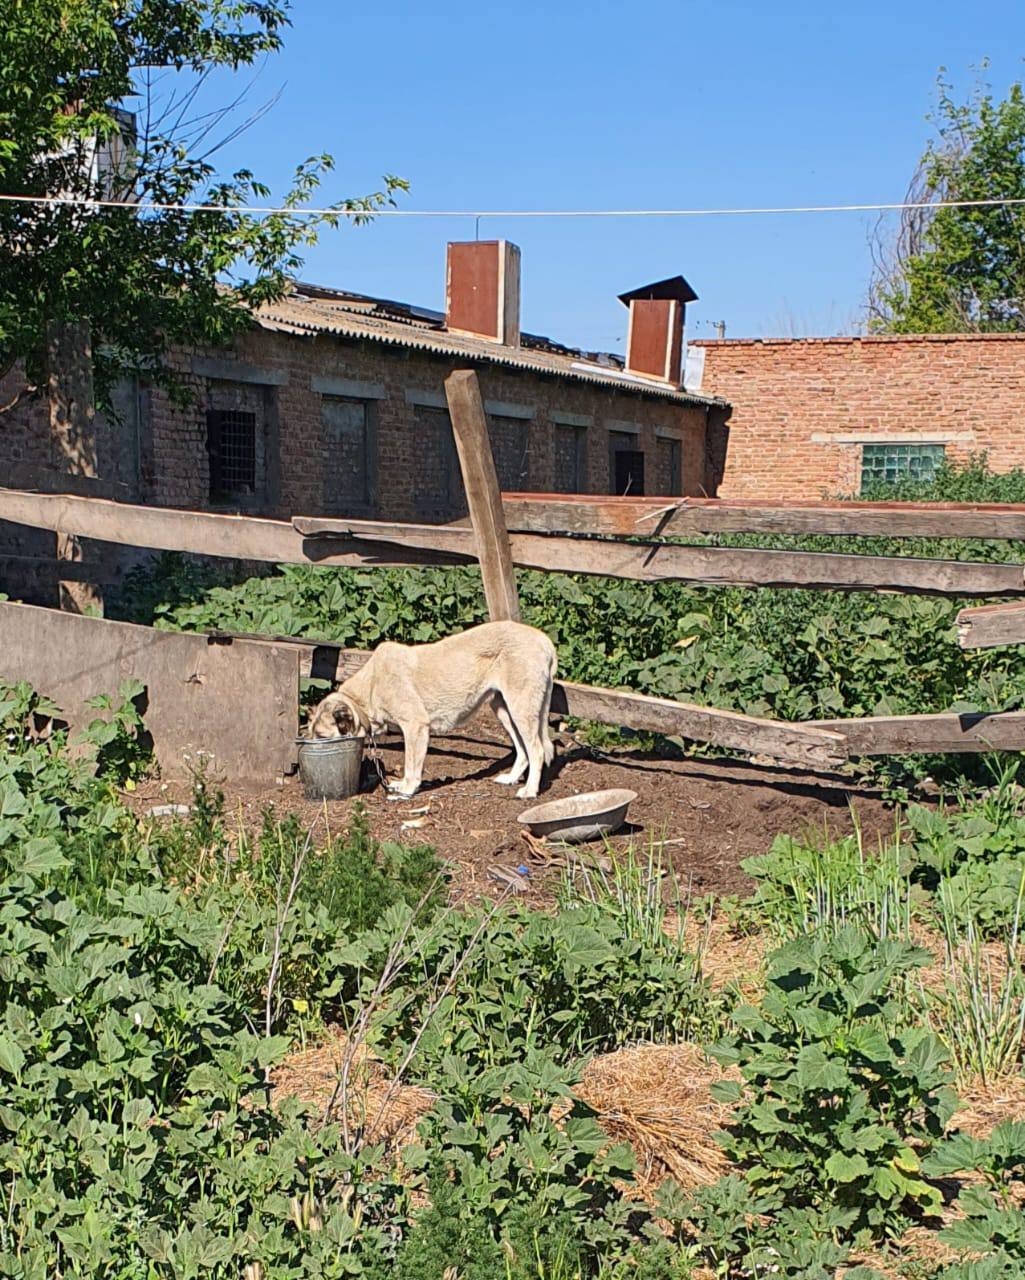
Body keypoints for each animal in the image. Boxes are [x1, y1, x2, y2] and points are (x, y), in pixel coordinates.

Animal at [308, 622, 555, 798]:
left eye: (321, 736)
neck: (367, 691)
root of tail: (544, 640)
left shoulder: (415, 726)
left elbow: (411, 763)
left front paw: (407, 789)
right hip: (504, 709)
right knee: (523, 750)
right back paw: (511, 779)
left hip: (520, 708)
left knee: (536, 750)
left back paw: (529, 791)